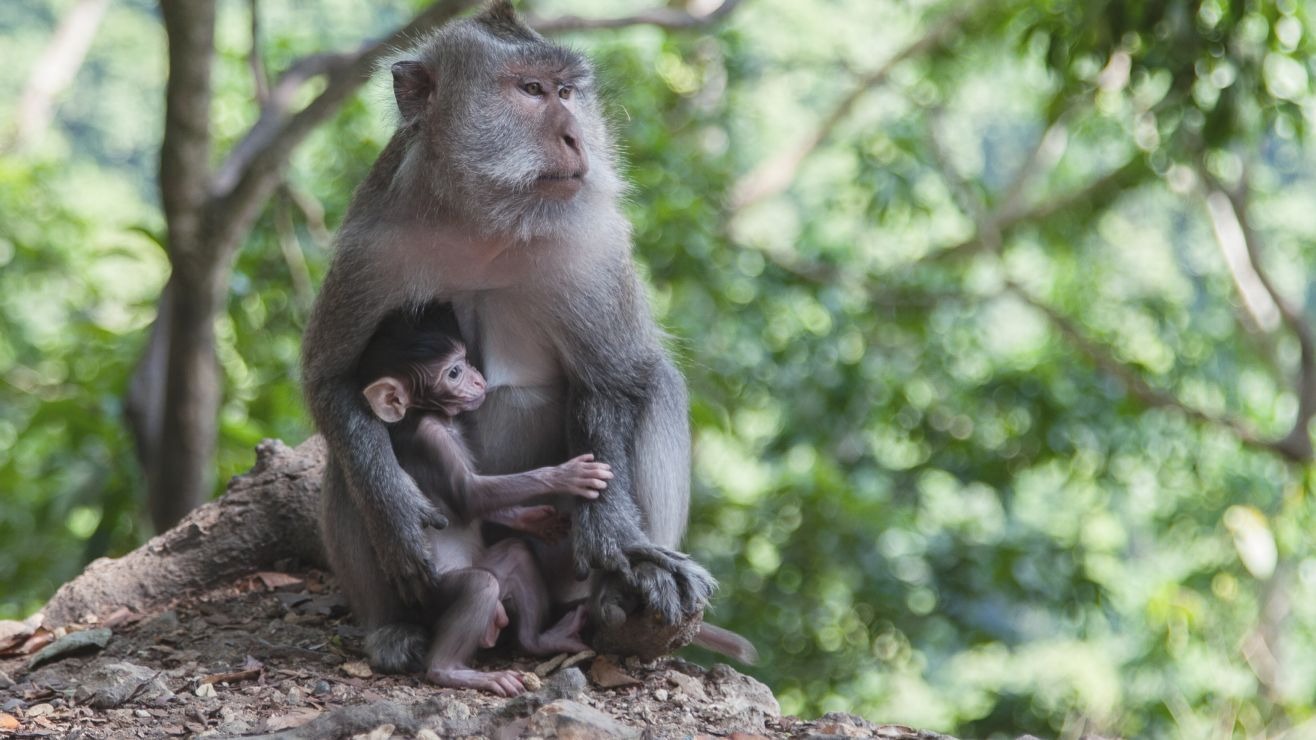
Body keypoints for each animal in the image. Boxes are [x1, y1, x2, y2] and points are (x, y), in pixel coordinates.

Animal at [355, 302, 610, 695]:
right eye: (454, 372)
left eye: (465, 361)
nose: (477, 378)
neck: (432, 415)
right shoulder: (432, 439)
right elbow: (468, 495)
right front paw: (565, 475)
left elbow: (484, 505)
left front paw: (535, 520)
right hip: (434, 594)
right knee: (479, 586)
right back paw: (450, 671)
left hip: (492, 570)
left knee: (516, 556)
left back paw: (541, 640)